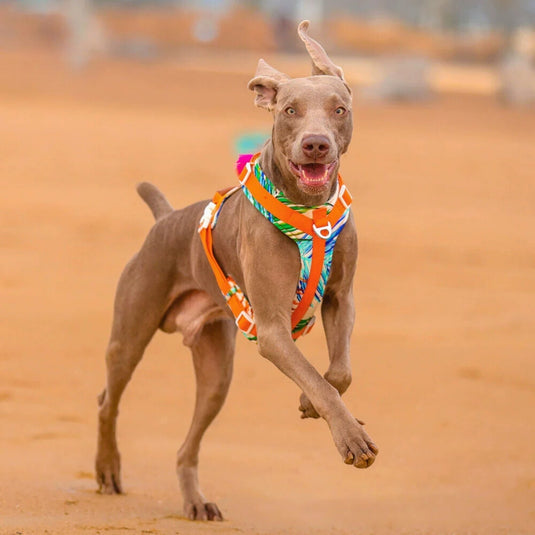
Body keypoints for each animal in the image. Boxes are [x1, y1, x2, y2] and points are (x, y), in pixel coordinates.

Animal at [95, 22, 376, 524]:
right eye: (290, 111)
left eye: (339, 110)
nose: (316, 143)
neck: (309, 212)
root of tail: (165, 219)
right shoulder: (273, 330)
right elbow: (320, 381)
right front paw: (349, 437)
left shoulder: (342, 298)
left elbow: (336, 375)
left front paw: (311, 403)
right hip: (128, 335)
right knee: (107, 400)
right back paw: (108, 470)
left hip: (215, 371)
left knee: (188, 444)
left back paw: (195, 501)